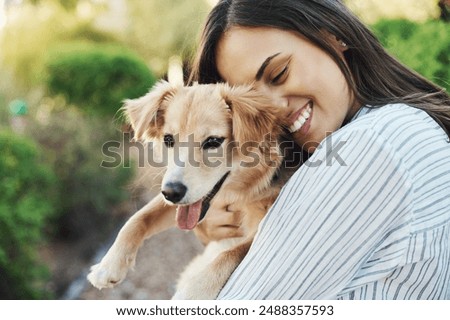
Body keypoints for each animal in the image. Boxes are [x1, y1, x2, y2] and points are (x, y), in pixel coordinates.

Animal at [87, 80, 302, 300]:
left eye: (213, 142)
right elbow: (138, 218)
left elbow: (232, 253)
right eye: (168, 139)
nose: (171, 193)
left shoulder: (261, 225)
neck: (242, 191)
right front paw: (109, 265)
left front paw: (193, 291)